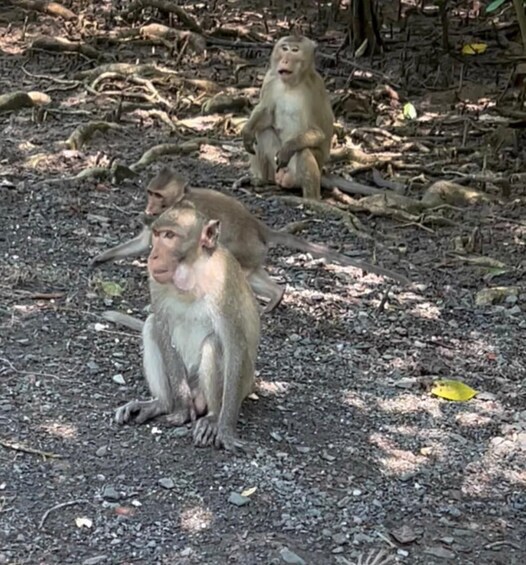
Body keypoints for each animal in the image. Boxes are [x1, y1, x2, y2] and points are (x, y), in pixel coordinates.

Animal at [92, 167, 412, 310]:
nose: (149, 206)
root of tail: (260, 229)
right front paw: (102, 257)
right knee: (255, 274)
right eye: (150, 192)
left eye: (158, 195)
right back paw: (276, 295)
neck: (177, 202)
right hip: (255, 254)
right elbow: (144, 242)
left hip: (245, 250)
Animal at [116, 205, 262, 452]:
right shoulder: (155, 282)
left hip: (242, 383)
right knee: (151, 326)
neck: (193, 276)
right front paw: (182, 409)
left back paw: (212, 417)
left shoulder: (225, 287)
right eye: (157, 235)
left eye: (170, 236)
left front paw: (225, 429)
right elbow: (163, 329)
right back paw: (161, 404)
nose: (153, 256)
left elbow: (235, 345)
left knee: (213, 344)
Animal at [242, 34, 336, 199]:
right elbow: (266, 113)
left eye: (294, 51)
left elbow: (318, 132)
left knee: (304, 152)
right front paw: (247, 130)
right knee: (261, 132)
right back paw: (261, 180)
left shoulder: (315, 88)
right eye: (284, 49)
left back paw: (312, 199)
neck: (290, 84)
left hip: (305, 170)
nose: (285, 60)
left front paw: (288, 148)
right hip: (275, 169)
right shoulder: (270, 78)